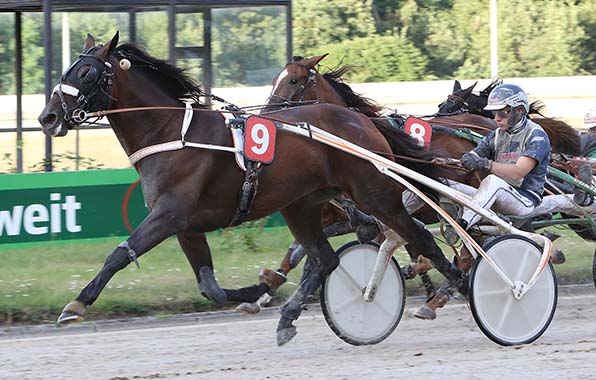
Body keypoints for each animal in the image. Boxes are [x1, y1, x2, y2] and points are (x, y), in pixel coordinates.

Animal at [39, 34, 464, 346]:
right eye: (69, 68)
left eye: (88, 72)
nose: (48, 116)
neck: (171, 134)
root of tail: (361, 121)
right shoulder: (188, 226)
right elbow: (210, 288)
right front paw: (257, 290)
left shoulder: (169, 214)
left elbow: (119, 254)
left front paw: (76, 304)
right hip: (302, 205)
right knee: (325, 258)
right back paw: (288, 317)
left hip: (375, 196)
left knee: (420, 237)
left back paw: (457, 287)